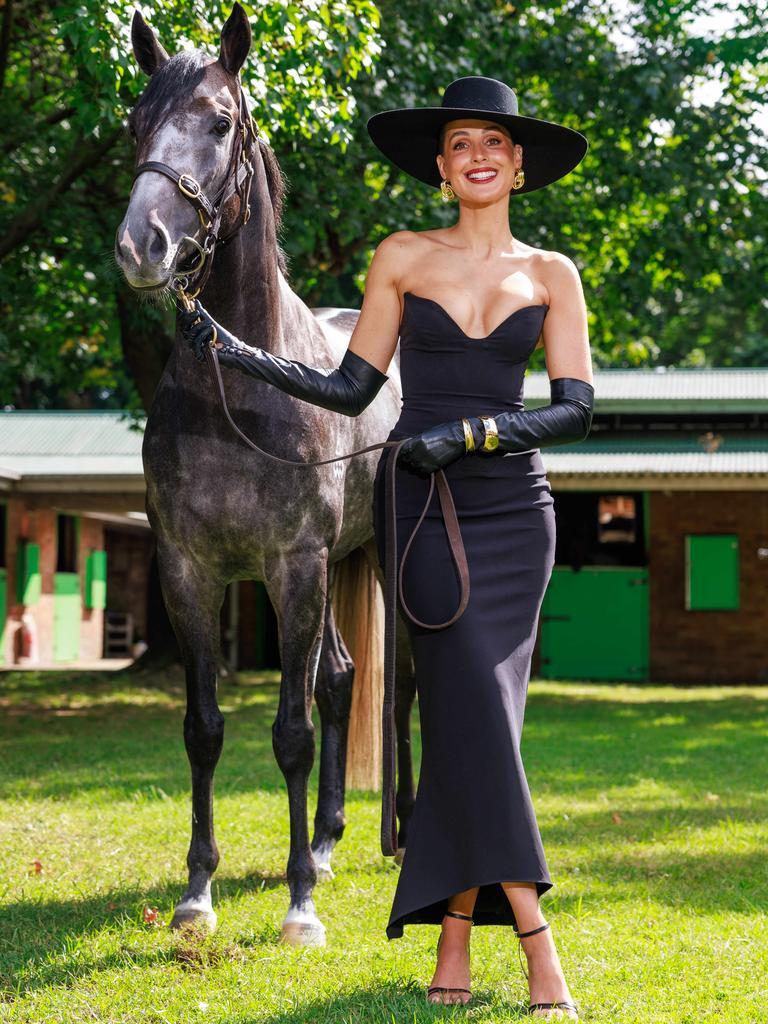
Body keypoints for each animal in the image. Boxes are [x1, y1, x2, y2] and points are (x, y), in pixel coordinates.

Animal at [113, 2, 417, 942]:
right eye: (135, 124)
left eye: (219, 123)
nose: (142, 246)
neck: (239, 388)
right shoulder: (188, 570)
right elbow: (205, 730)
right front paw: (197, 894)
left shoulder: (293, 567)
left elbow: (290, 733)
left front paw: (299, 907)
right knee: (344, 680)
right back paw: (324, 840)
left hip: (376, 565)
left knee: (395, 693)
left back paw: (397, 838)